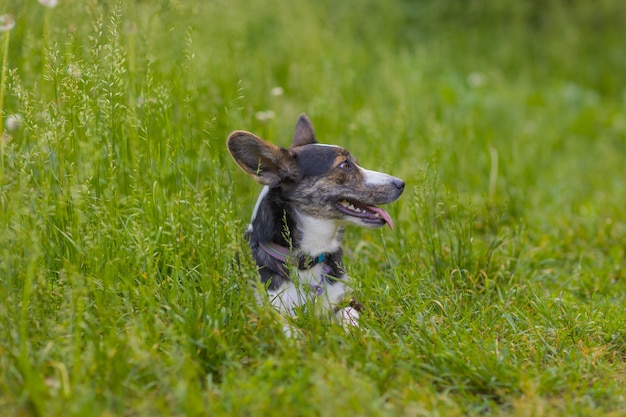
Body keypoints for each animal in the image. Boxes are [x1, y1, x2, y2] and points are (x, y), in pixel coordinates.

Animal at [227, 113, 402, 328]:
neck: (309, 258)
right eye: (345, 165)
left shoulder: (343, 299)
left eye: (356, 162)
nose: (401, 184)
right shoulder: (267, 311)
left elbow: (349, 313)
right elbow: (287, 328)